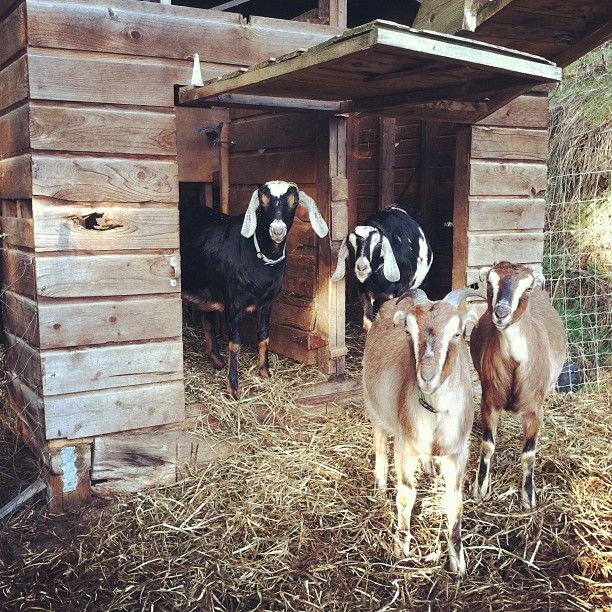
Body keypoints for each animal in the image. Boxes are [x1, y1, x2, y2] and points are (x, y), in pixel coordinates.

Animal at [179, 179, 328, 400]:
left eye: (294, 202)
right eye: (263, 201)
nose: (277, 230)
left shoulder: (267, 302)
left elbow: (264, 335)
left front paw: (265, 372)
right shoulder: (233, 304)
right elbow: (235, 344)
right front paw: (233, 388)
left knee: (207, 320)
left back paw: (216, 360)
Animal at [360, 286, 480, 572]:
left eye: (457, 333)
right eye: (408, 331)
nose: (426, 377)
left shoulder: (458, 453)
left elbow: (455, 502)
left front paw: (458, 563)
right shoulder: (405, 449)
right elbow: (406, 495)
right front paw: (401, 548)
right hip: (373, 406)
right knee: (380, 445)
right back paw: (380, 485)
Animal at [470, 260, 568, 510]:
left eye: (527, 288)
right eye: (490, 282)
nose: (501, 313)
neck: (515, 364)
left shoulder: (534, 411)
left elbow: (528, 454)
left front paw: (528, 497)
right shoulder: (489, 402)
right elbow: (488, 445)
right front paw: (480, 488)